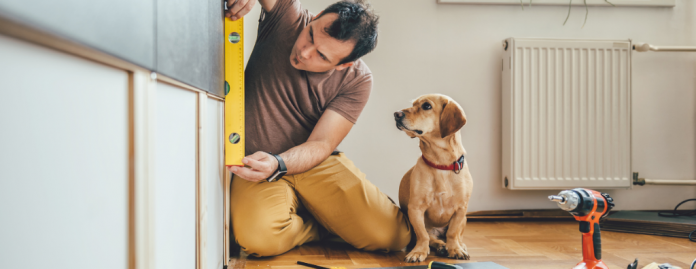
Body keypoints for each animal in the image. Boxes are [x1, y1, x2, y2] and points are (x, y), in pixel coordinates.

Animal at [394, 93, 470, 260]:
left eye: (426, 106)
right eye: (413, 104)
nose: (396, 114)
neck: (441, 164)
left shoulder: (461, 209)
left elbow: (453, 233)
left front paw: (455, 249)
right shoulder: (415, 209)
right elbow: (423, 235)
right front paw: (419, 251)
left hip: (465, 219)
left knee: (457, 235)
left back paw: (459, 246)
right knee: (432, 238)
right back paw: (440, 246)